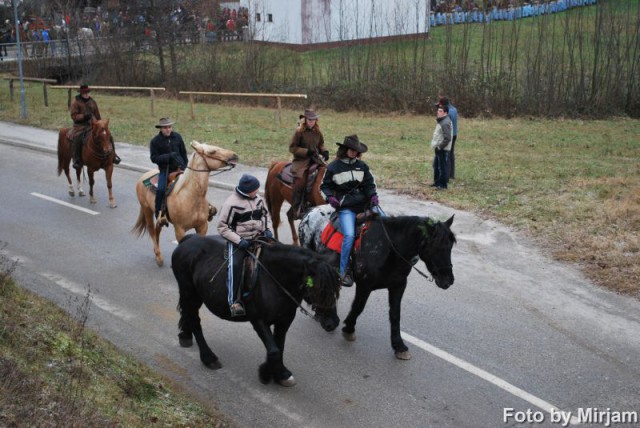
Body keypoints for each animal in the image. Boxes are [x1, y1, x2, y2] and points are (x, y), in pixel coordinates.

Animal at [170, 236, 340, 386]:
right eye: (319, 289)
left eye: (337, 289)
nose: (333, 323)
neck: (274, 277)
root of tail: (187, 240)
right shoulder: (258, 320)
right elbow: (274, 350)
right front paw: (266, 373)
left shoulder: (284, 320)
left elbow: (279, 346)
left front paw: (280, 373)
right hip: (188, 291)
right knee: (193, 319)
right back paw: (208, 357)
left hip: (196, 294)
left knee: (188, 314)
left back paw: (185, 336)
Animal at [298, 206, 456, 360]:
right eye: (437, 247)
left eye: (450, 247)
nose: (448, 280)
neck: (388, 249)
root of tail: (309, 212)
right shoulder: (364, 286)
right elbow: (358, 307)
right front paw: (348, 329)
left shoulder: (398, 286)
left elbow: (395, 315)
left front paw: (399, 346)